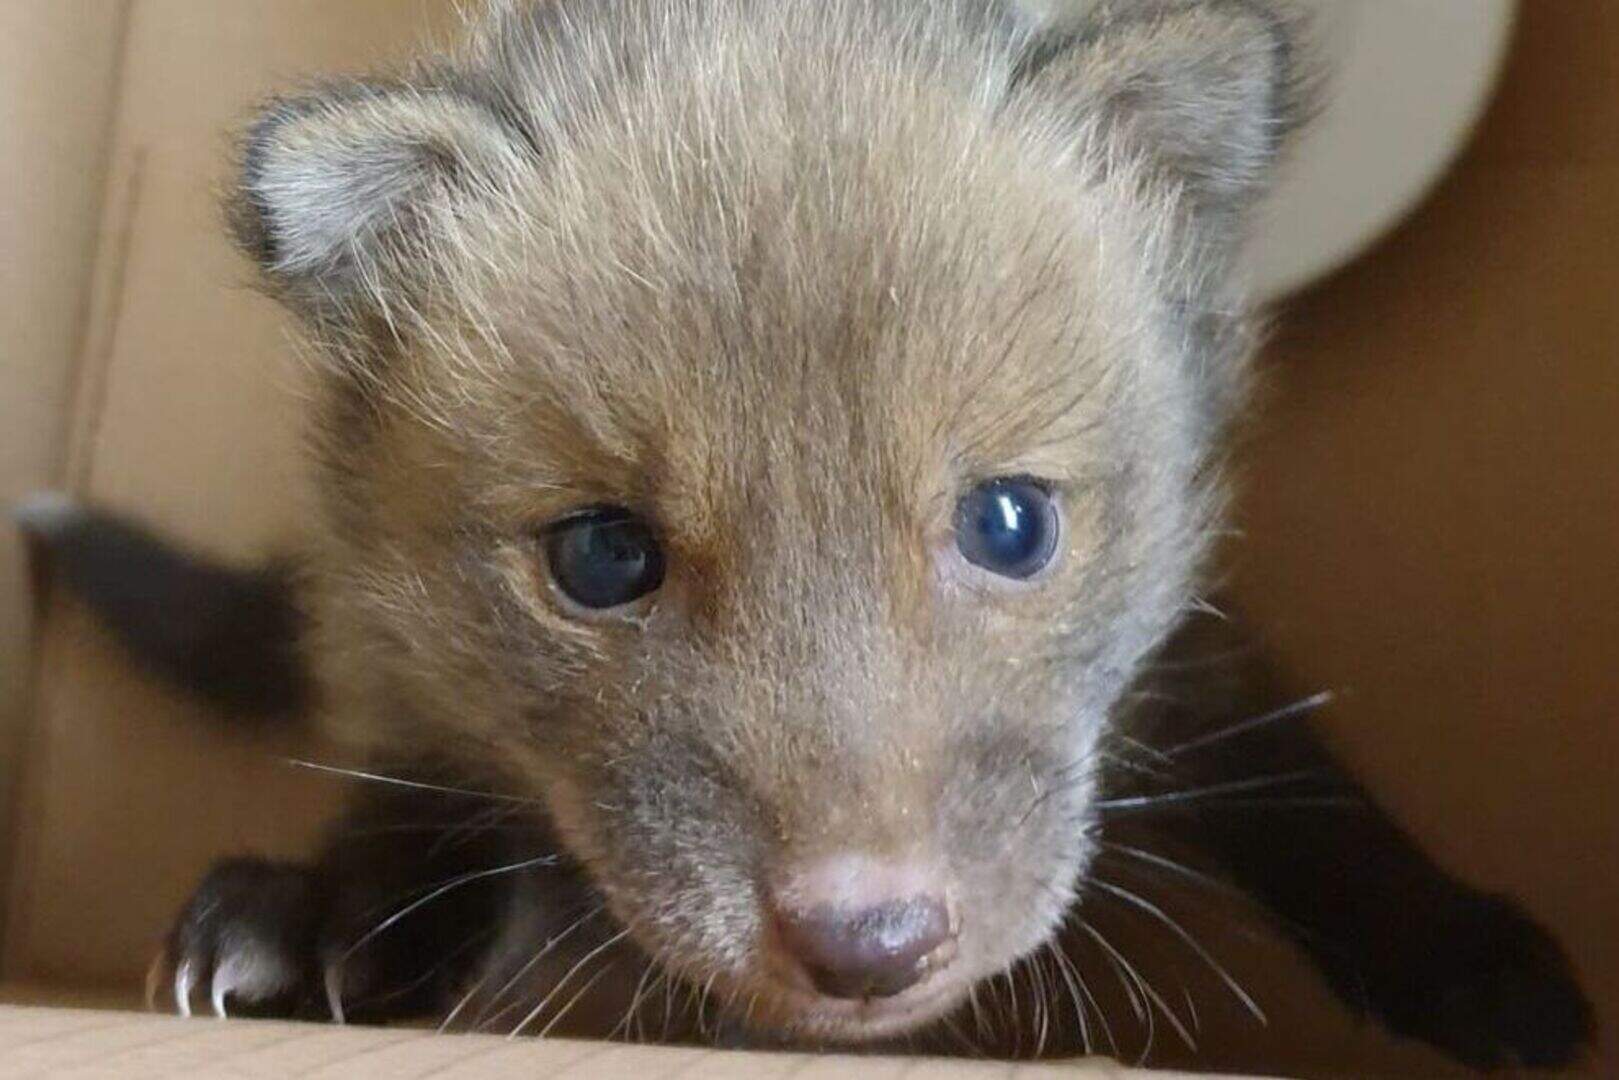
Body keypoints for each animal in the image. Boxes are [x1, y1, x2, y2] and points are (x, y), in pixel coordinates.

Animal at [18, 0, 1592, 1070]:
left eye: (1008, 523)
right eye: (601, 557)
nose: (866, 942)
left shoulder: (1190, 651)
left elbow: (1303, 789)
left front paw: (1461, 954)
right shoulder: (412, 681)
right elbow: (421, 799)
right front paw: (323, 916)